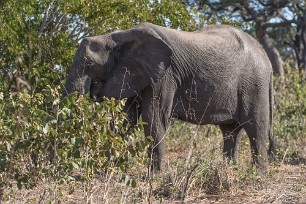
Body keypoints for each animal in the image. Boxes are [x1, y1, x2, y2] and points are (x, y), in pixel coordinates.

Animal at [62, 22, 274, 174]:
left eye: (89, 64)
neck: (116, 36)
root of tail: (266, 57)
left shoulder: (165, 75)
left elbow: (153, 118)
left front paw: (155, 177)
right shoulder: (137, 73)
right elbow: (126, 119)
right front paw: (107, 171)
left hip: (254, 85)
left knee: (255, 127)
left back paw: (257, 174)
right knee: (230, 131)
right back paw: (229, 170)